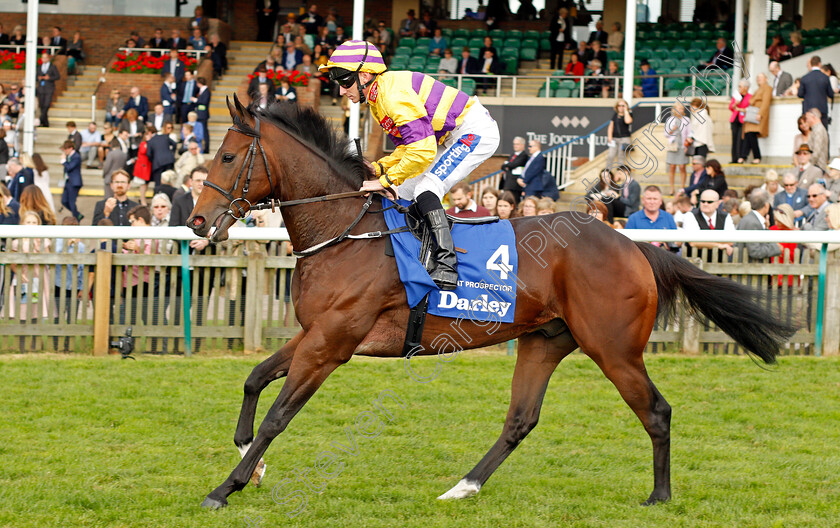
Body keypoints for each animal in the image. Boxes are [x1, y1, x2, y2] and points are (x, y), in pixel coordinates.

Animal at [187, 97, 796, 510]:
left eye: (228, 156)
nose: (195, 222)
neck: (346, 231)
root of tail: (633, 246)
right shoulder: (315, 333)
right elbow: (255, 380)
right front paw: (247, 460)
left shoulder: (332, 343)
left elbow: (279, 414)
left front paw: (226, 487)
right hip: (544, 341)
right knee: (521, 419)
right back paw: (463, 486)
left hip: (614, 348)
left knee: (656, 410)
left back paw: (659, 496)